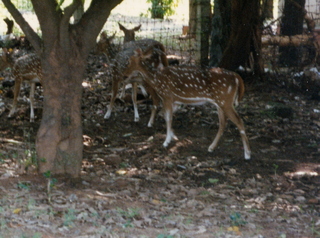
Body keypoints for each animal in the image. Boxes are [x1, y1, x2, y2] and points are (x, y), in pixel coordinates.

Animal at [122, 47, 250, 160]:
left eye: (128, 61)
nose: (124, 74)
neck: (156, 79)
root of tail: (237, 77)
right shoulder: (175, 101)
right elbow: (164, 116)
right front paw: (173, 136)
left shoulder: (167, 96)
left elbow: (168, 119)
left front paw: (166, 142)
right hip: (220, 102)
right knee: (223, 123)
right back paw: (211, 147)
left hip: (225, 100)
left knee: (239, 121)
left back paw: (247, 154)